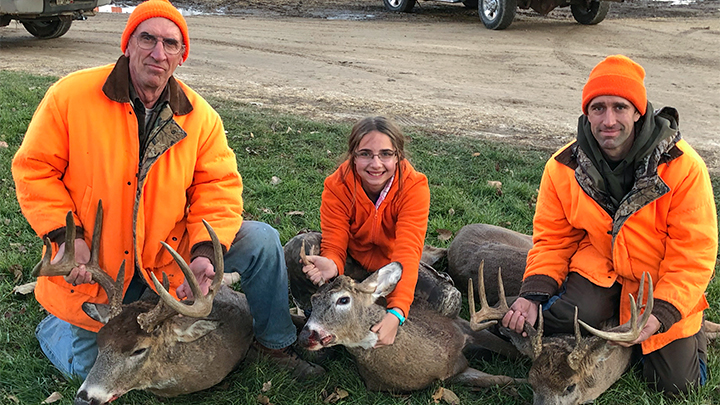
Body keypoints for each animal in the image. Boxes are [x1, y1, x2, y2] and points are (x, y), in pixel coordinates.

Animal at [296, 258, 520, 392]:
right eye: (313, 301)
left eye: (343, 299)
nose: (305, 336)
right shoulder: (450, 376)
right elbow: (500, 379)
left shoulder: (459, 325)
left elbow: (510, 356)